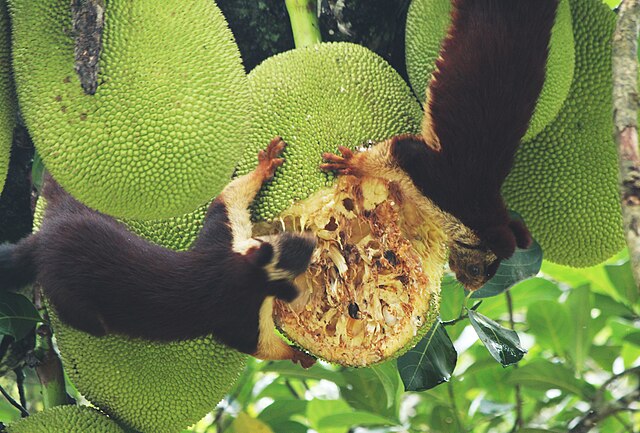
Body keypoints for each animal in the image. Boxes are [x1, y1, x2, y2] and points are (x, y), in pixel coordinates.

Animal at [1, 139, 316, 368]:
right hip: (69, 295)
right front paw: (298, 355)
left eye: (286, 237)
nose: (312, 242)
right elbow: (258, 345)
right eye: (284, 247)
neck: (239, 271)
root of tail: (45, 236)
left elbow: (228, 198)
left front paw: (266, 164)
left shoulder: (221, 242)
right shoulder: (239, 312)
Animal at [322, 0, 556, 290]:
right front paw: (354, 163)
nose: (470, 288)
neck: (477, 210)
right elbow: (400, 152)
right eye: (477, 268)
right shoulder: (440, 181)